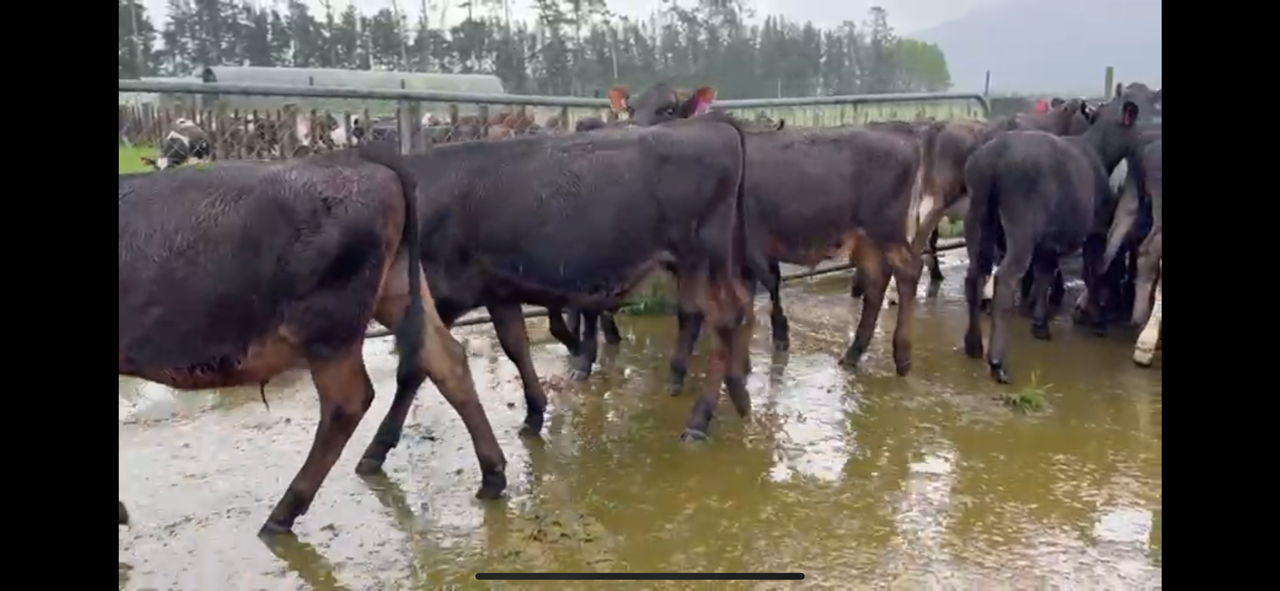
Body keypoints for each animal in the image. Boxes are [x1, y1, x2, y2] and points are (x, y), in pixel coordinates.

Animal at [118, 143, 507, 536]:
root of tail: (361, 159)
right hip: (396, 291)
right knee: (446, 360)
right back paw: (492, 475)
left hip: (329, 327)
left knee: (347, 402)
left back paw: (284, 512)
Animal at [960, 89, 1155, 384]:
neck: (1097, 149)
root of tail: (994, 157)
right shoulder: (1096, 232)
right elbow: (1093, 273)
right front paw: (1098, 321)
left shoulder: (1048, 243)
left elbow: (1044, 276)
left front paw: (1040, 325)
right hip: (1021, 228)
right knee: (1004, 280)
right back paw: (997, 363)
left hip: (979, 219)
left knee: (975, 275)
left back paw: (972, 344)